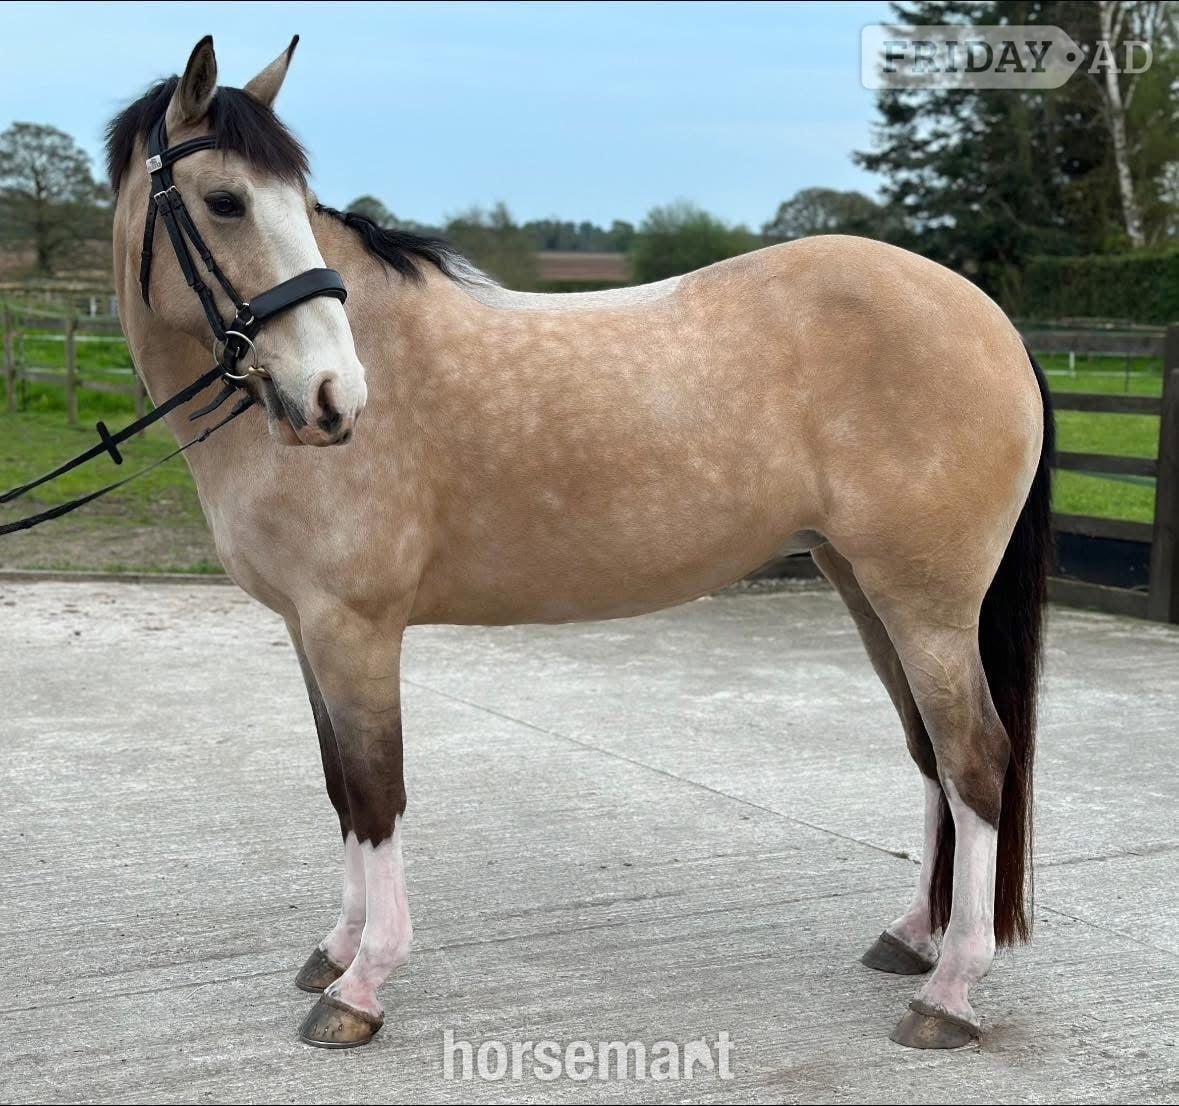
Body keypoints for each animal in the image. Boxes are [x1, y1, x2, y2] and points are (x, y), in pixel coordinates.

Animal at [103, 36, 1053, 1050]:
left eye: (268, 200)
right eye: (226, 201)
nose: (334, 398)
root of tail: (989, 320)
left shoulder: (352, 628)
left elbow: (375, 793)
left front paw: (361, 986)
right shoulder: (306, 630)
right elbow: (339, 790)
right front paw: (336, 950)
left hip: (926, 604)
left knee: (974, 762)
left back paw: (947, 993)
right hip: (866, 586)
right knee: (929, 757)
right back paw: (911, 938)